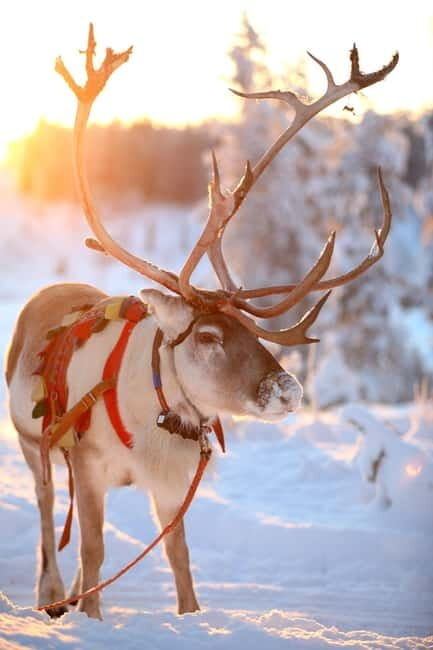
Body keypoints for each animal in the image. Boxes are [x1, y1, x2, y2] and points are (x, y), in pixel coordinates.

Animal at [5, 25, 397, 620]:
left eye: (254, 334)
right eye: (209, 335)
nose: (288, 389)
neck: (159, 412)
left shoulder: (173, 483)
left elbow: (179, 559)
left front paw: (189, 616)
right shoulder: (90, 465)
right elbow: (94, 554)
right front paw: (91, 621)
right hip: (36, 446)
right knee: (50, 513)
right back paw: (51, 596)